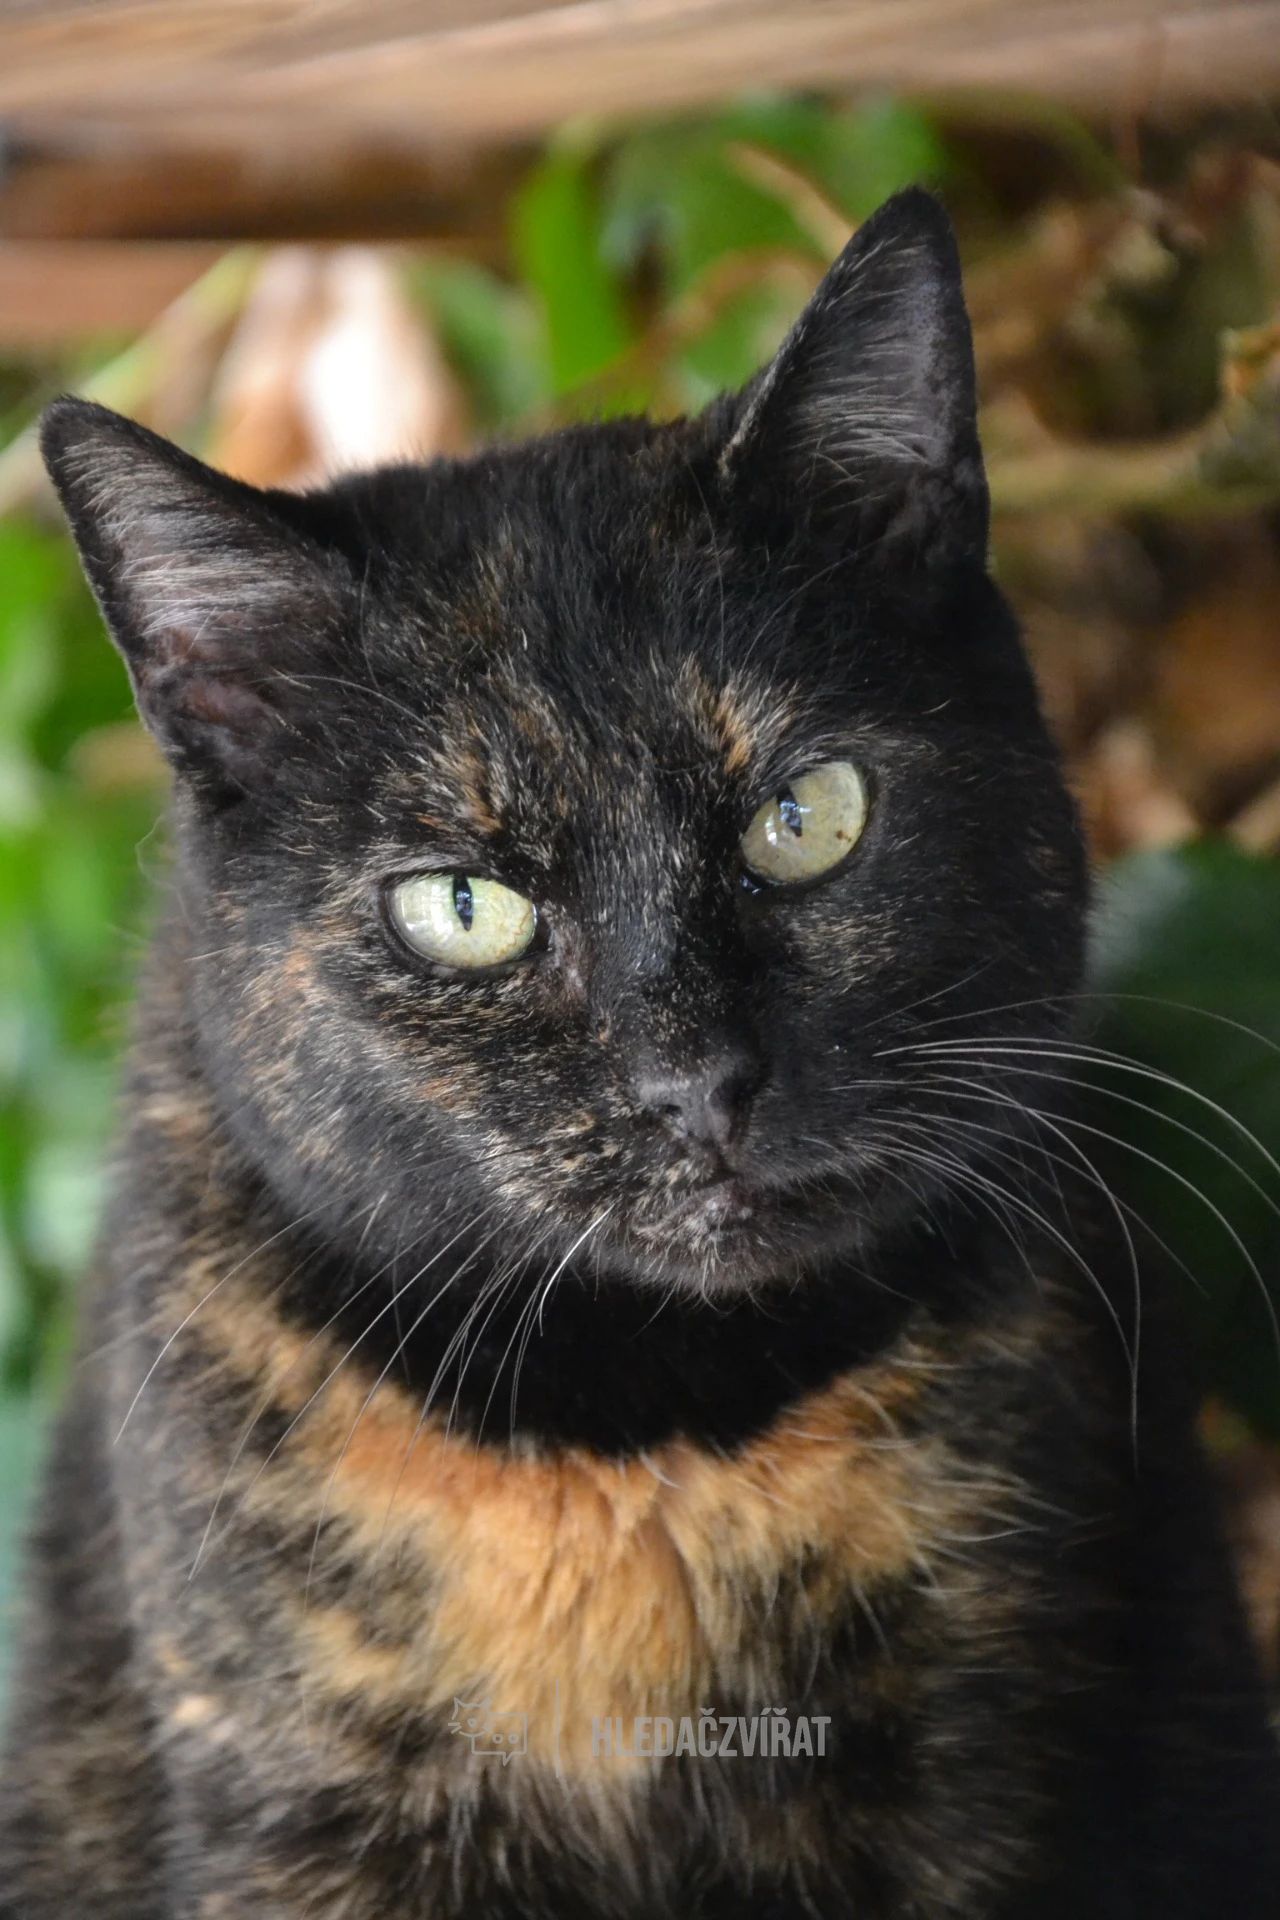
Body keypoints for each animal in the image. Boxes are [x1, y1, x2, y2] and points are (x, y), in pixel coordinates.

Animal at [2, 188, 1276, 1919]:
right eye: (463, 907)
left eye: (806, 817)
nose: (699, 1083)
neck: (645, 1441)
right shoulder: (306, 1798)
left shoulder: (974, 1773)